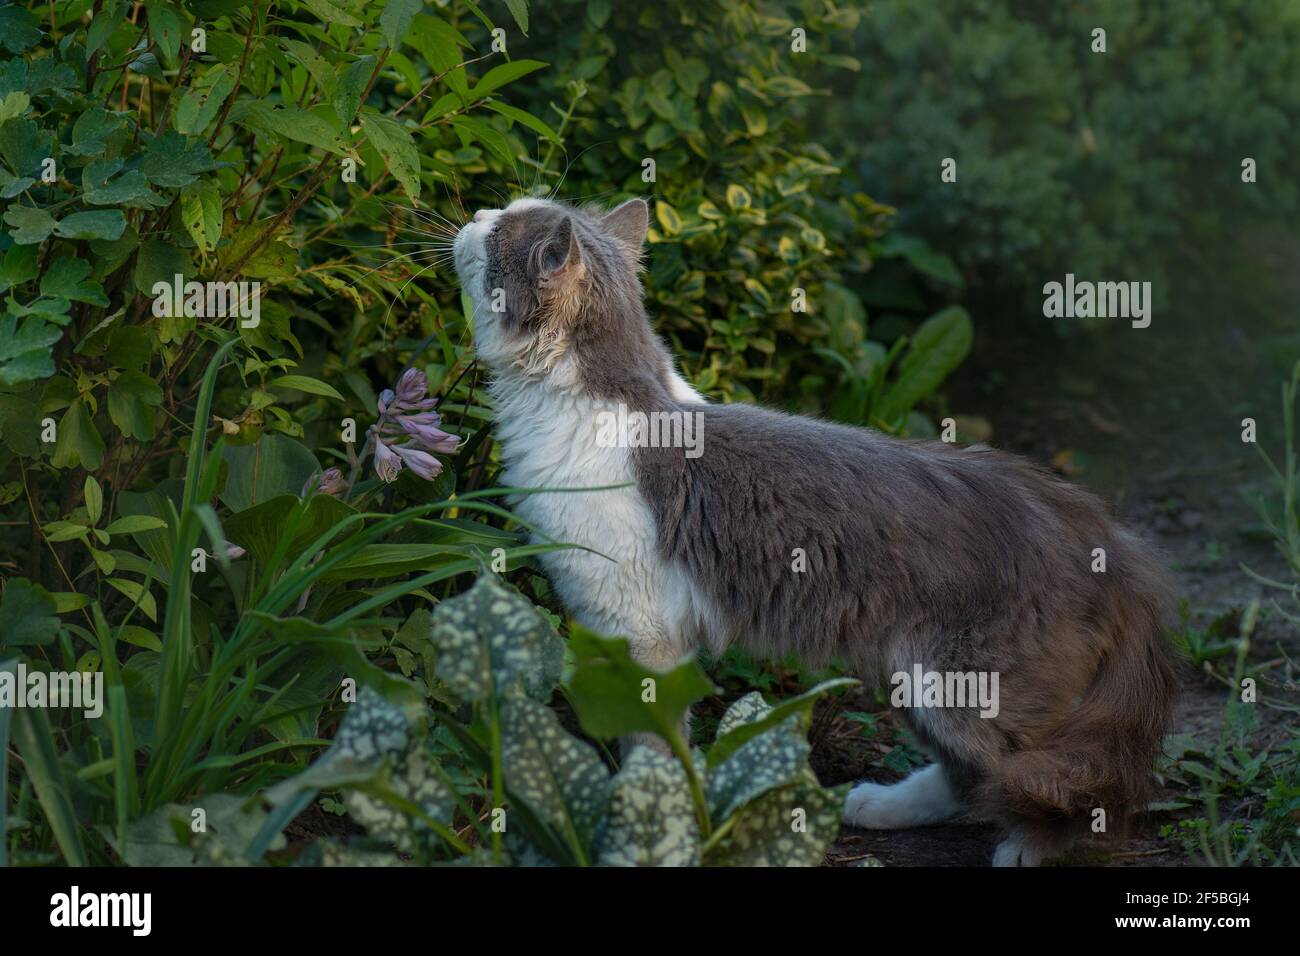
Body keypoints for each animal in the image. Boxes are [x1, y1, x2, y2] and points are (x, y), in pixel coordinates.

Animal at [452, 195, 1185, 868]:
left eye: (499, 229)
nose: (477, 212)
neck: (598, 402)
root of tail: (1105, 534)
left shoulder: (642, 633)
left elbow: (655, 751)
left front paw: (644, 841)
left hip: (966, 686)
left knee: (1049, 780)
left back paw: (1026, 851)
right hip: (912, 674)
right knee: (971, 777)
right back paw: (882, 804)